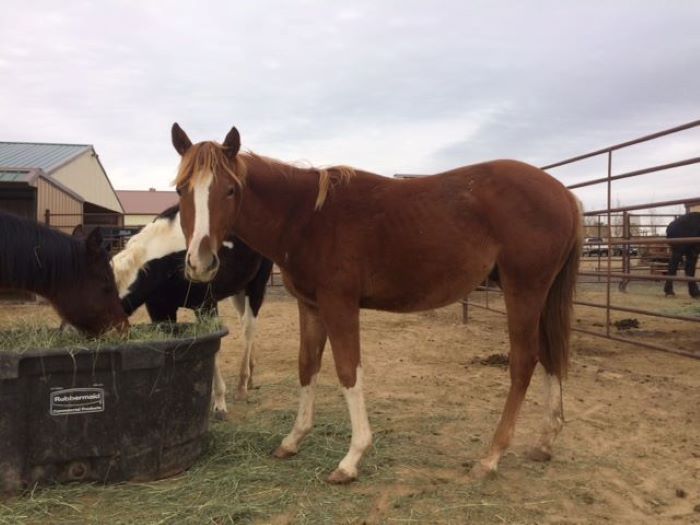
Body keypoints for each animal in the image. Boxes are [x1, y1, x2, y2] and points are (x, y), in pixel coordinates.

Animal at [110, 205, 272, 414]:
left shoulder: (206, 306)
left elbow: (214, 347)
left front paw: (219, 401)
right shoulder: (160, 310)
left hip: (256, 285)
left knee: (249, 328)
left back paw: (242, 385)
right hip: (239, 289)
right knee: (245, 321)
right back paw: (250, 375)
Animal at [172, 123, 584, 484]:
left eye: (230, 190)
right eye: (181, 189)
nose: (201, 263)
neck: (306, 217)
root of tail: (565, 195)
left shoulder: (339, 305)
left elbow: (347, 371)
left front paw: (352, 458)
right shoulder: (311, 306)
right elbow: (307, 367)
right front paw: (293, 440)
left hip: (523, 291)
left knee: (524, 362)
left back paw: (491, 457)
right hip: (540, 295)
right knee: (550, 355)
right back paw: (544, 442)